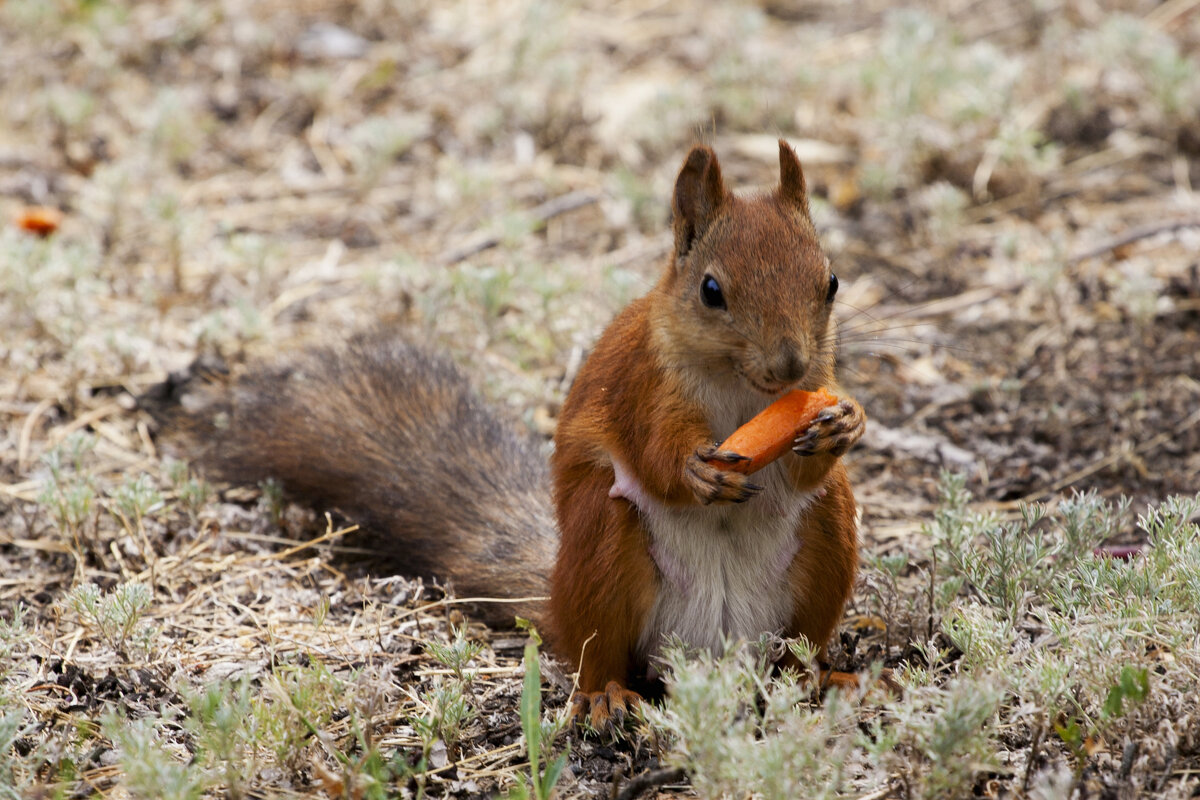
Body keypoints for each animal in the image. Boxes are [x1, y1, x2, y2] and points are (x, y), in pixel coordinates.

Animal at [150, 139, 864, 734]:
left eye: (831, 281)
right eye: (712, 290)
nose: (790, 367)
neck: (742, 391)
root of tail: (713, 655)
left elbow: (807, 459)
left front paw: (843, 421)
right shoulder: (641, 387)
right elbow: (656, 454)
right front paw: (696, 471)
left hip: (827, 539)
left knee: (797, 638)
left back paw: (822, 679)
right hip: (604, 546)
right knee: (598, 653)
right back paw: (605, 695)